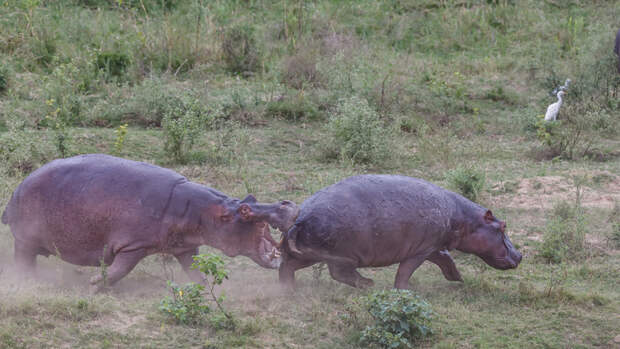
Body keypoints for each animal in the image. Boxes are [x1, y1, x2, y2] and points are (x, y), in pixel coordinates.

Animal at [1, 154, 298, 290]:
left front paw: (204, 288)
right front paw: (96, 283)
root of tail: (18, 189)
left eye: (250, 196)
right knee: (23, 259)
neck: (201, 212)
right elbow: (119, 270)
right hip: (25, 238)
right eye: (245, 210)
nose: (284, 203)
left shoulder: (185, 247)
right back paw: (30, 279)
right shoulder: (133, 245)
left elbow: (194, 270)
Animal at [280, 174, 524, 288]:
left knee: (288, 266)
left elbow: (444, 258)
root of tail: (300, 218)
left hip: (311, 252)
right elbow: (405, 271)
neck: (464, 218)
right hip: (342, 254)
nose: (520, 255)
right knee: (339, 273)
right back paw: (368, 284)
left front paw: (457, 278)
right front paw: (403, 291)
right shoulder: (421, 249)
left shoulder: (432, 246)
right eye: (503, 226)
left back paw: (289, 289)